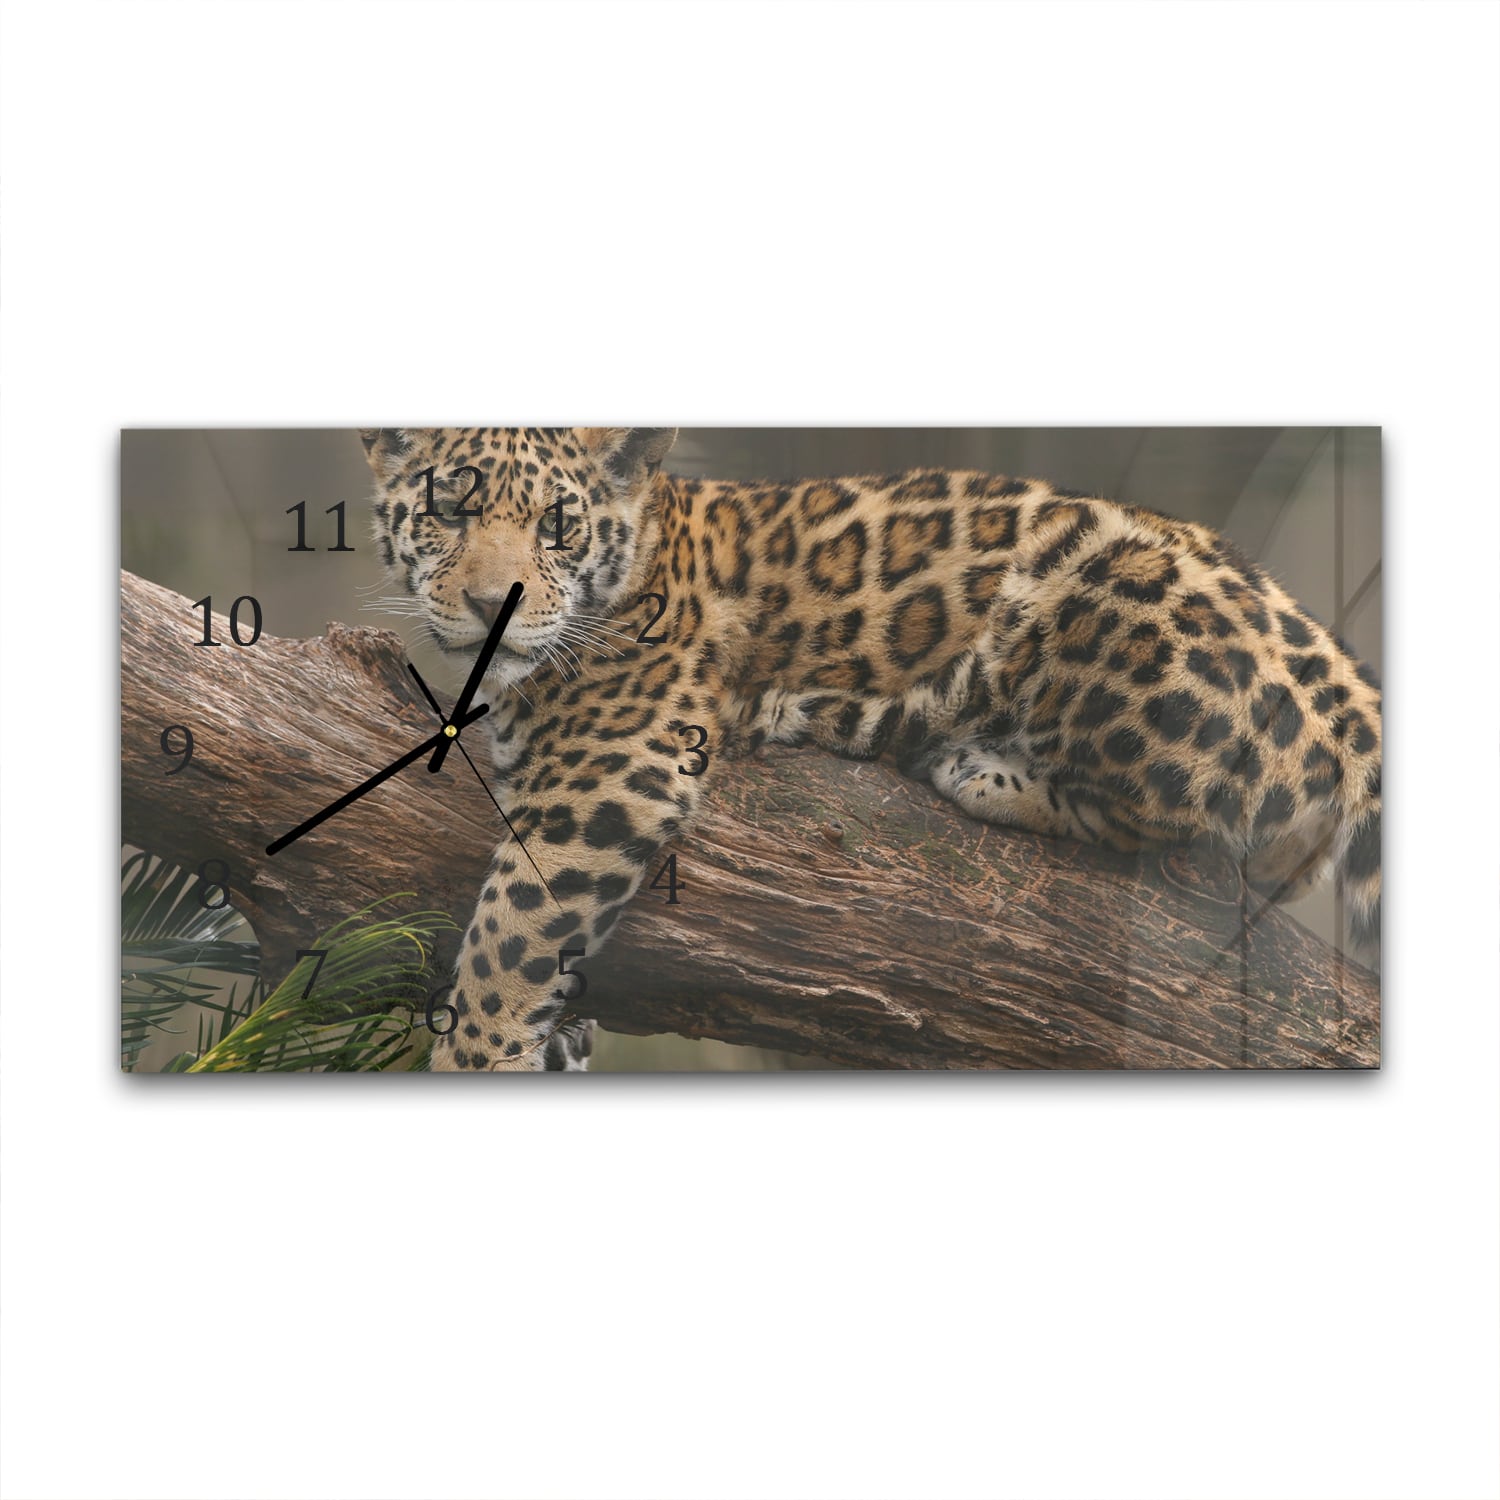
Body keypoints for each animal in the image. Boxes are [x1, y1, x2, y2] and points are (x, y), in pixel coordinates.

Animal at [361, 427, 1383, 1071]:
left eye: (557, 526)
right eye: (448, 514)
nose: (493, 603)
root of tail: (1354, 692)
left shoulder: (618, 764)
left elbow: (510, 930)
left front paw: (474, 1057)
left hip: (1093, 586)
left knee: (1194, 821)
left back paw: (969, 762)